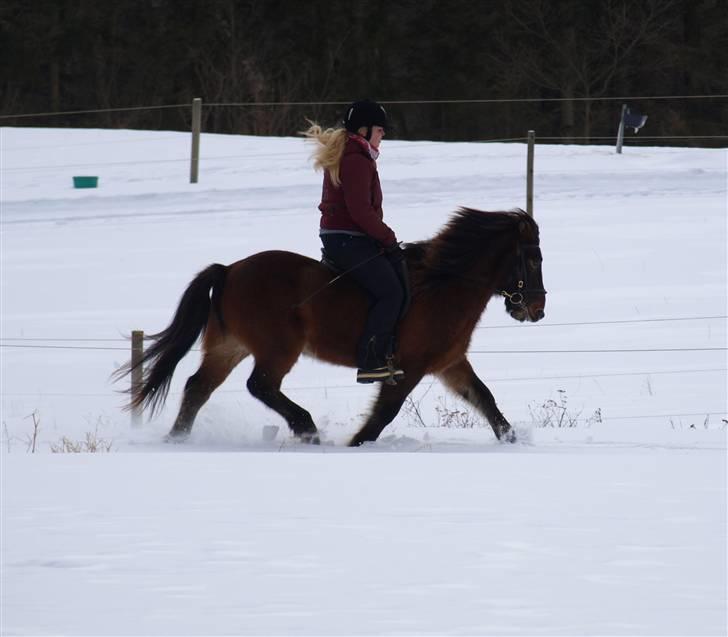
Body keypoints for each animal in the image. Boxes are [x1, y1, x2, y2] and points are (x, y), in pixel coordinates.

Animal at [116, 206, 544, 444]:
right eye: (533, 259)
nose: (537, 309)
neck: (444, 284)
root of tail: (229, 270)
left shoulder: (449, 364)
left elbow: (486, 399)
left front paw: (512, 440)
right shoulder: (409, 368)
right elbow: (382, 416)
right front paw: (356, 444)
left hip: (228, 346)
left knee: (197, 388)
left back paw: (176, 441)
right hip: (277, 348)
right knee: (260, 385)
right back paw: (307, 430)